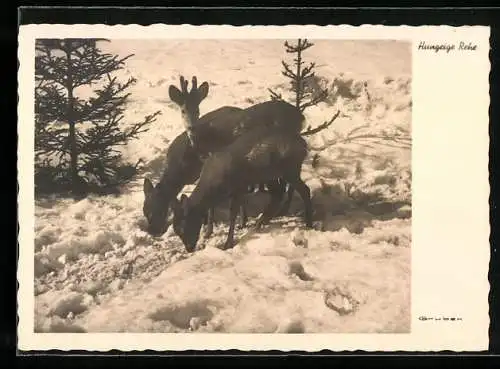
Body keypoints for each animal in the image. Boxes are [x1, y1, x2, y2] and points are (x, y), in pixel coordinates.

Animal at [143, 75, 302, 236]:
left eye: (152, 211)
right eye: (145, 210)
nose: (152, 231)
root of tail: (300, 116)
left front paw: (211, 229)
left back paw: (280, 212)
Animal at [173, 125, 312, 252]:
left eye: (183, 227)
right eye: (176, 230)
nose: (189, 248)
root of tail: (304, 144)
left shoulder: (238, 186)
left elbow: (233, 213)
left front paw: (228, 243)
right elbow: (215, 209)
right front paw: (209, 232)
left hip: (290, 168)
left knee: (304, 190)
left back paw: (308, 224)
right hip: (271, 173)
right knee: (278, 193)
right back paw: (262, 221)